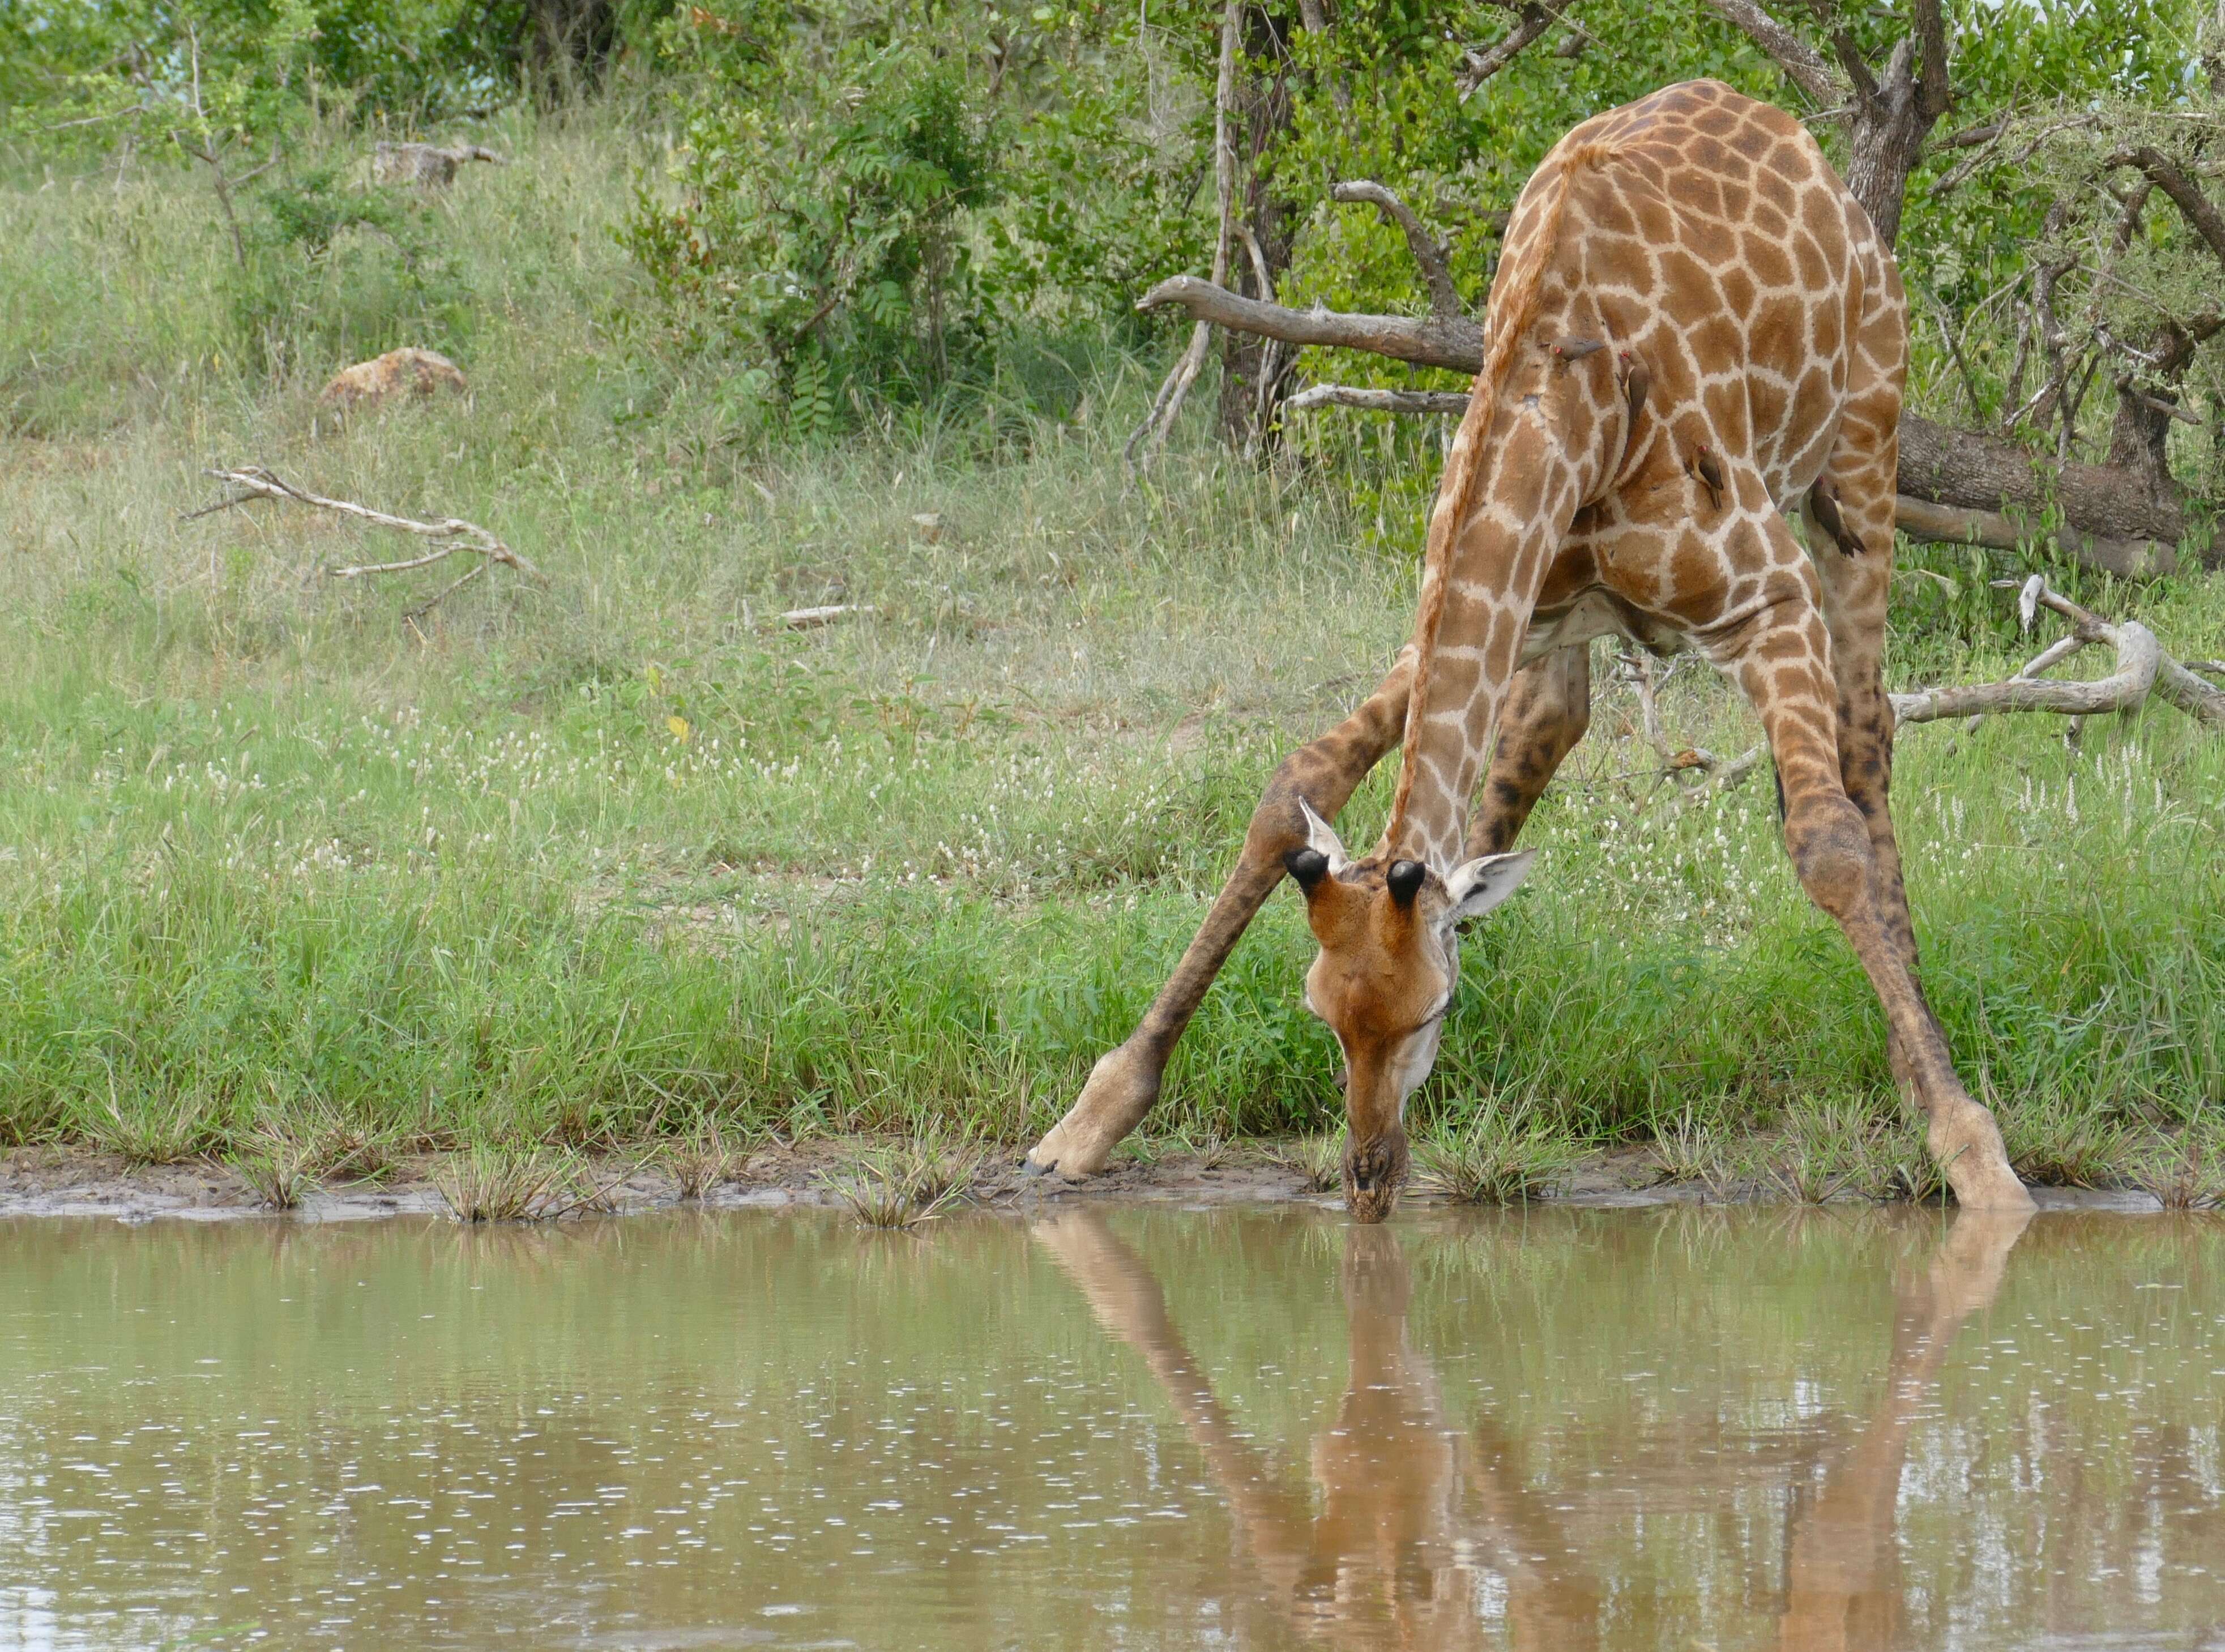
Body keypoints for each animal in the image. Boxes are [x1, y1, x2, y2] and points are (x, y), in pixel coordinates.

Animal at [1023, 74, 2038, 1220]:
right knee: (1553, 725)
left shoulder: (1766, 598)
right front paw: (1089, 1118)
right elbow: (1294, 784)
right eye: (1322, 1014)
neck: (1569, 395)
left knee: (1865, 748)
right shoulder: (1490, 604)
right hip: (1570, 624)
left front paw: (1971, 1146)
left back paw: (1925, 1062)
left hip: (1862, 447)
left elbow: (1824, 843)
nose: (1366, 1178)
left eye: (1426, 1014)